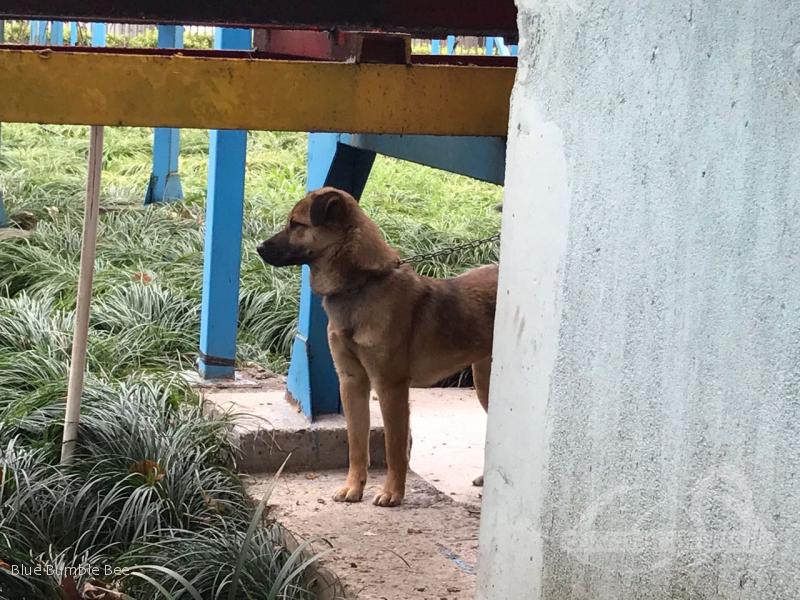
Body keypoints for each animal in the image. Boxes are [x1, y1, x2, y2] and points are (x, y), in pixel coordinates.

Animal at [258, 188, 494, 506]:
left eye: (296, 224)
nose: (258, 248)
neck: (361, 284)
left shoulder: (389, 387)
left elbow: (394, 447)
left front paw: (393, 492)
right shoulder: (352, 382)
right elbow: (356, 443)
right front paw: (353, 487)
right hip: (484, 382)